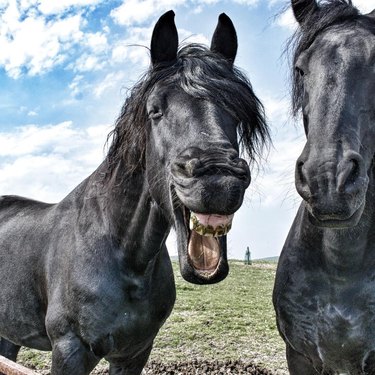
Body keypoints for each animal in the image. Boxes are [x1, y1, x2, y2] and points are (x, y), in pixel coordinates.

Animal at [0, 10, 270, 374]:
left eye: (238, 112)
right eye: (155, 110)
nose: (218, 181)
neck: (124, 254)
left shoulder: (134, 353)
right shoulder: (70, 349)